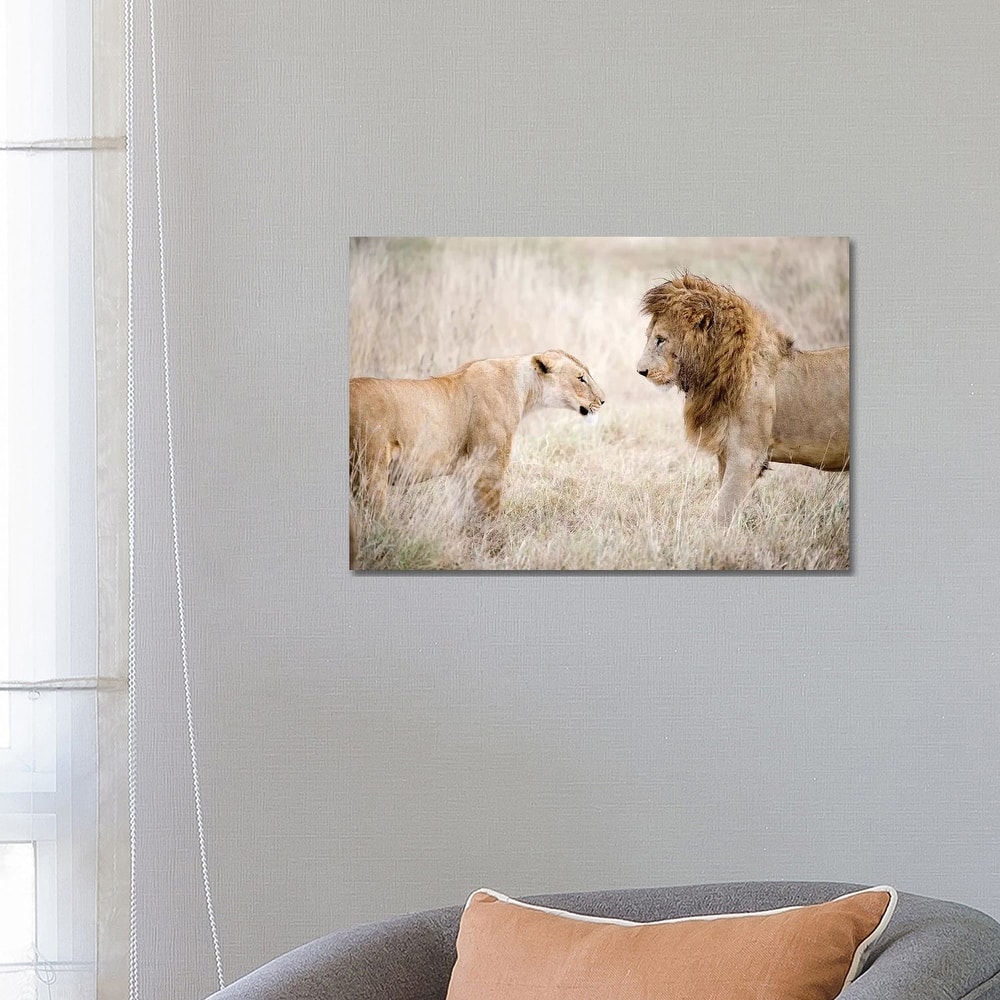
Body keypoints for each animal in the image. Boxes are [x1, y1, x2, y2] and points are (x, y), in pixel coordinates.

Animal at [349, 350, 605, 543]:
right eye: (581, 378)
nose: (603, 400)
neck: (524, 389)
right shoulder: (490, 466)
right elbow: (489, 513)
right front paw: (494, 545)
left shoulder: (463, 470)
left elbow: (462, 511)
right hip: (370, 471)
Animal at [637, 274, 849, 525]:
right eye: (649, 337)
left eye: (660, 340)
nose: (640, 371)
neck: (716, 371)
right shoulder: (726, 453)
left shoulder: (746, 456)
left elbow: (725, 511)